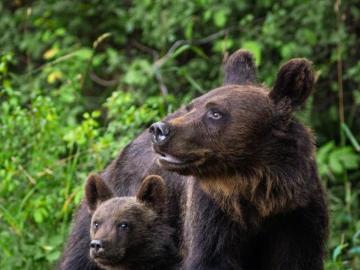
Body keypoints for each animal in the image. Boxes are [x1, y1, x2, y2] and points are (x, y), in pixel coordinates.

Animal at [58, 49, 330, 268]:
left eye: (215, 113)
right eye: (192, 106)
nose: (159, 130)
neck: (260, 197)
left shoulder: (297, 217)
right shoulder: (212, 216)